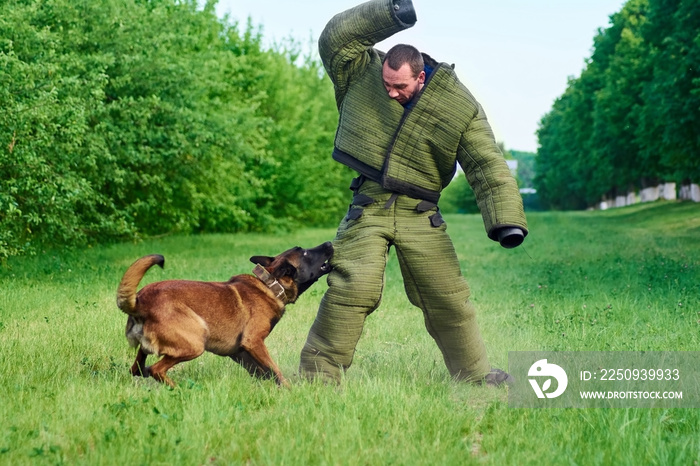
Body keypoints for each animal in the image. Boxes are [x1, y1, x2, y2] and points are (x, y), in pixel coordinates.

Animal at [115, 242, 334, 388]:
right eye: (305, 252)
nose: (329, 243)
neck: (270, 285)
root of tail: (140, 302)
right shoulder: (254, 342)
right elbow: (275, 370)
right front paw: (290, 390)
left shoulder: (240, 352)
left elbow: (265, 373)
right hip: (196, 342)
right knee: (156, 369)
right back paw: (180, 389)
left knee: (137, 368)